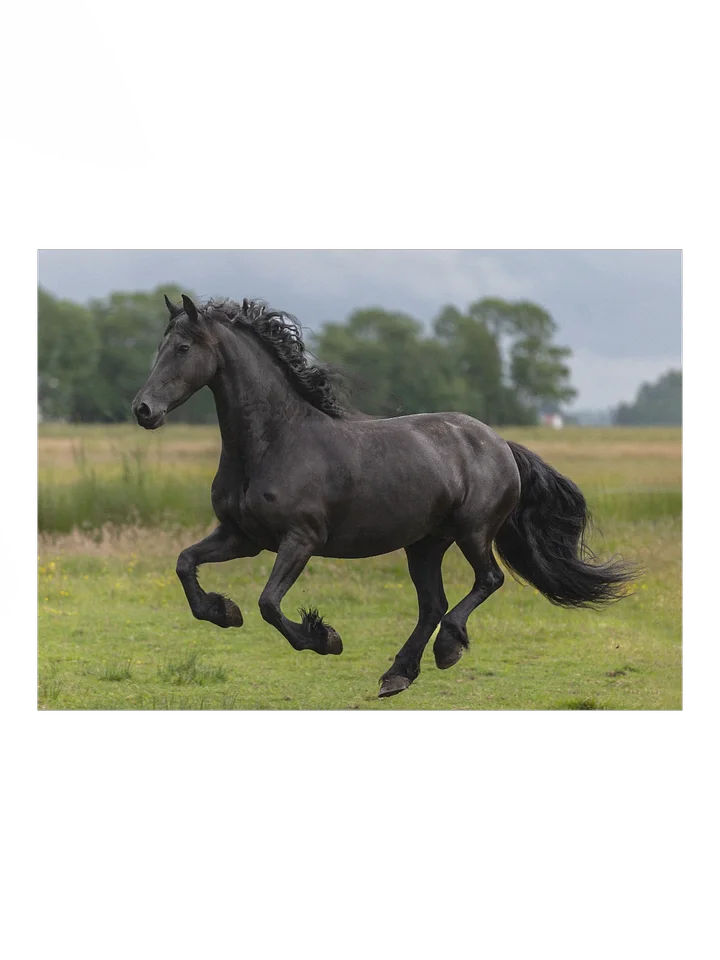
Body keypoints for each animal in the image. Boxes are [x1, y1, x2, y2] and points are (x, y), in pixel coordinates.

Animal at [132, 294, 637, 698]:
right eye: (160, 347)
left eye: (182, 349)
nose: (143, 410)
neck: (274, 442)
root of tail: (498, 443)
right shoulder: (242, 537)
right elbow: (185, 564)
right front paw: (222, 612)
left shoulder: (301, 539)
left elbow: (269, 603)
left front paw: (324, 638)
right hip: (425, 544)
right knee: (433, 603)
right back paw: (398, 674)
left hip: (473, 532)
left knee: (487, 581)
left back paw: (447, 648)